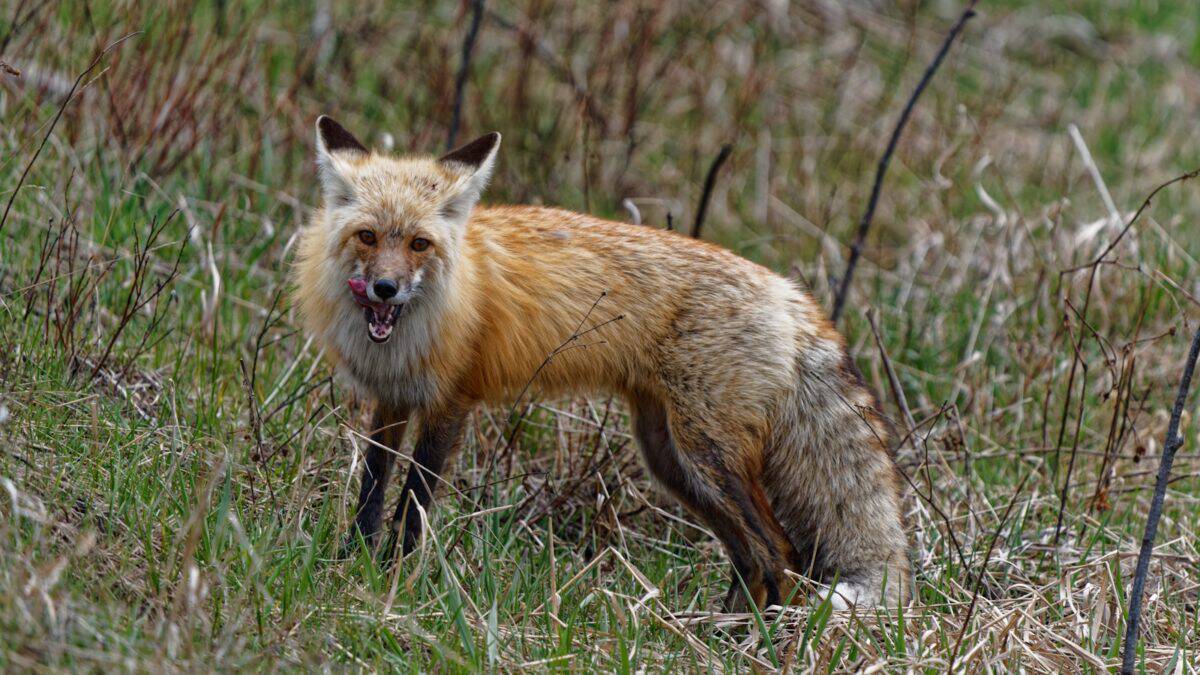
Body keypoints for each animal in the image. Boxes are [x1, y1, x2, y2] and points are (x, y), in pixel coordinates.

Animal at [292, 115, 910, 610]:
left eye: (419, 244)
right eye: (368, 236)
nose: (386, 288)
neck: (407, 333)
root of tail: (790, 292)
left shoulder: (451, 404)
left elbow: (413, 505)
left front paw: (394, 577)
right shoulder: (392, 399)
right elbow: (372, 490)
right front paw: (350, 564)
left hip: (707, 453)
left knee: (779, 551)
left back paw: (750, 639)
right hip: (673, 460)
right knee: (755, 556)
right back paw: (717, 630)